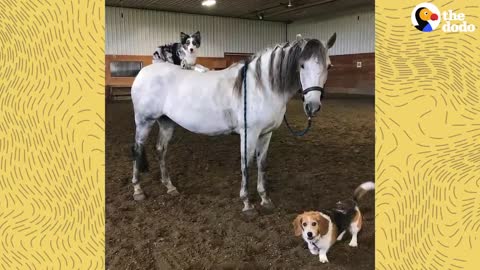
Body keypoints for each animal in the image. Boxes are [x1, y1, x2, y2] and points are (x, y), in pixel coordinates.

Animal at [129, 33, 336, 214]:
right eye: (301, 65)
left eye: (329, 66)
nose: (312, 106)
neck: (261, 87)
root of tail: (144, 72)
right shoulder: (249, 134)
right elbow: (246, 164)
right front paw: (247, 204)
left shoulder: (266, 134)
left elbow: (262, 164)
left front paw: (265, 199)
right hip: (144, 121)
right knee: (138, 149)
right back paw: (138, 191)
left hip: (166, 122)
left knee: (161, 150)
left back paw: (169, 187)